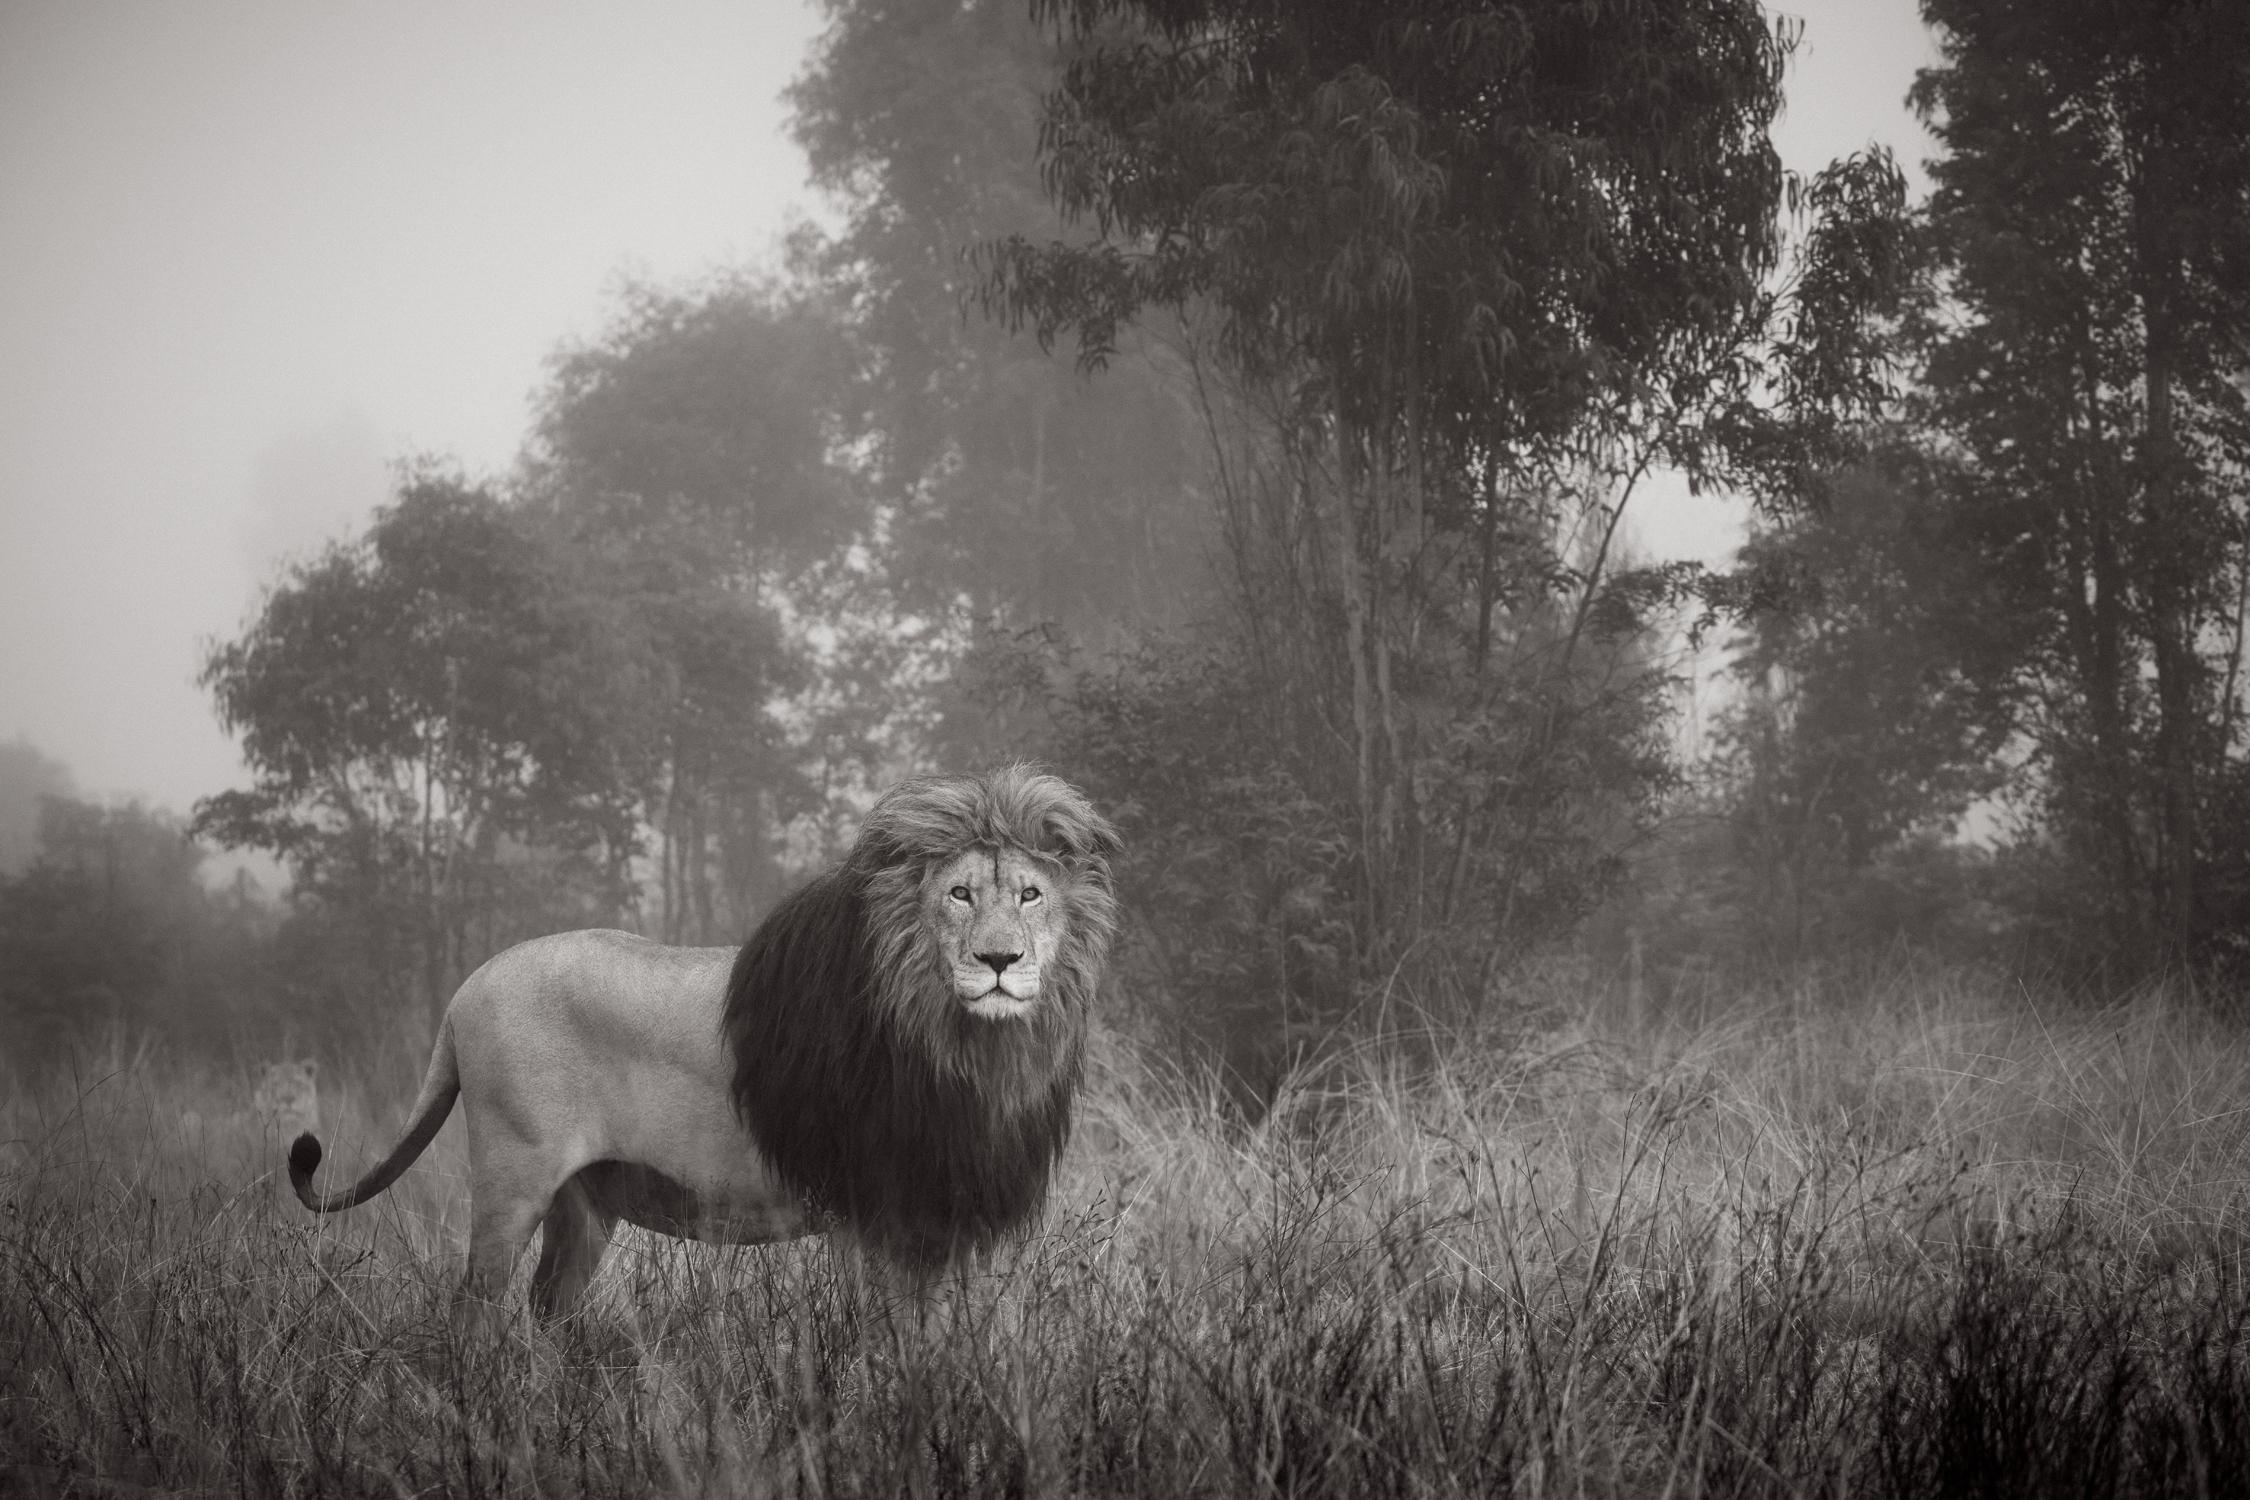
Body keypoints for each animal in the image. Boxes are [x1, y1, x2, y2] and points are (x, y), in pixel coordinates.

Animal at [286, 765, 1120, 1317]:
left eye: (1030, 894)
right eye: (959, 894)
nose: (1000, 960)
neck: (970, 1048)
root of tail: (464, 991)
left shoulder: (940, 1217)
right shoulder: (871, 1211)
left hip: (585, 1203)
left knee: (548, 1308)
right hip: (511, 1181)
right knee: (474, 1313)